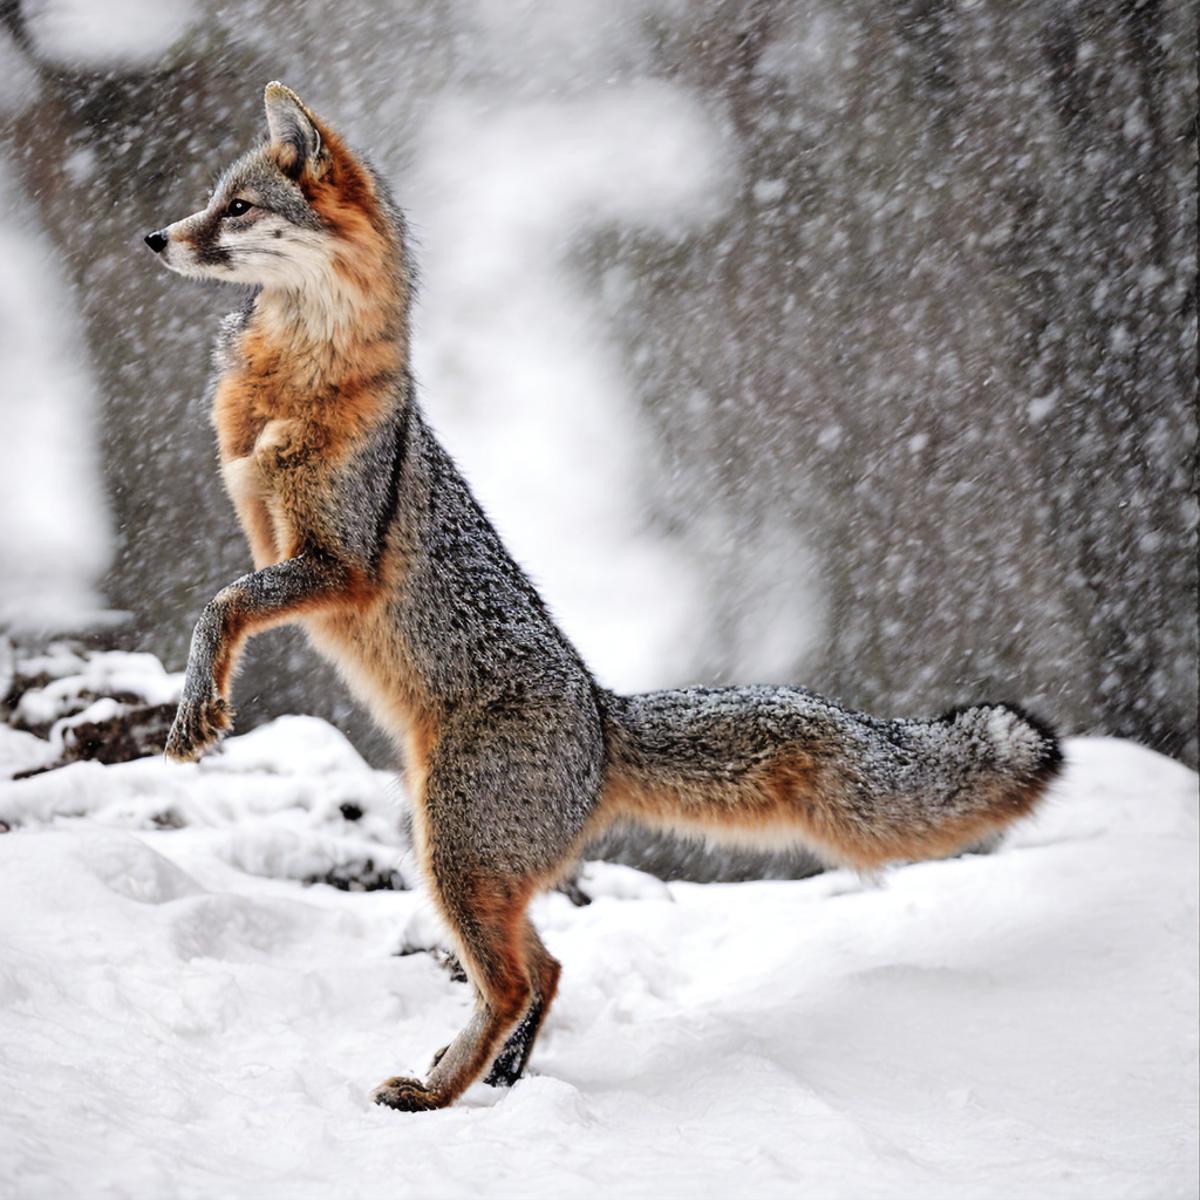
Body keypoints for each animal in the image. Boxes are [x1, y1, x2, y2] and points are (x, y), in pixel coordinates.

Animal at [147, 82, 1060, 1113]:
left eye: (236, 208)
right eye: (209, 201)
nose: (155, 237)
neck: (294, 377)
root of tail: (602, 712)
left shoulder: (338, 562)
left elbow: (222, 603)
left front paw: (198, 704)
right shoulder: (266, 520)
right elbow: (230, 582)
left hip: (451, 854)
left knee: (514, 979)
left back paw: (438, 1095)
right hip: (455, 856)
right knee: (545, 968)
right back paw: (494, 1076)